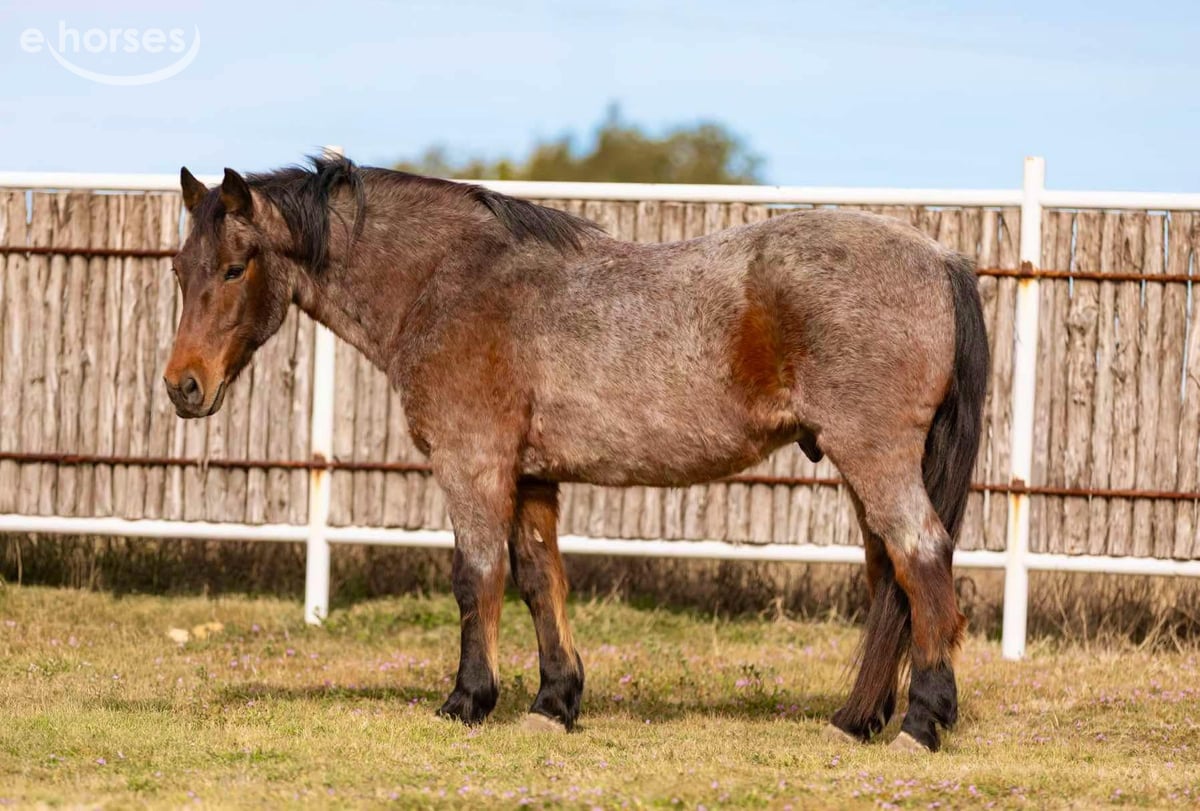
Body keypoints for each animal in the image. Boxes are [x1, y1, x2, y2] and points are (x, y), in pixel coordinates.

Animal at [163, 155, 987, 752]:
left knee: (921, 557)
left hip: (874, 457)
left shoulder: (472, 464)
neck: (451, 282)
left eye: (236, 266)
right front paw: (554, 701)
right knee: (889, 576)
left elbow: (476, 578)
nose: (183, 386)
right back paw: (857, 719)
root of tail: (939, 255)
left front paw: (467, 700)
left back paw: (922, 722)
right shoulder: (530, 477)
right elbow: (539, 581)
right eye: (179, 268)